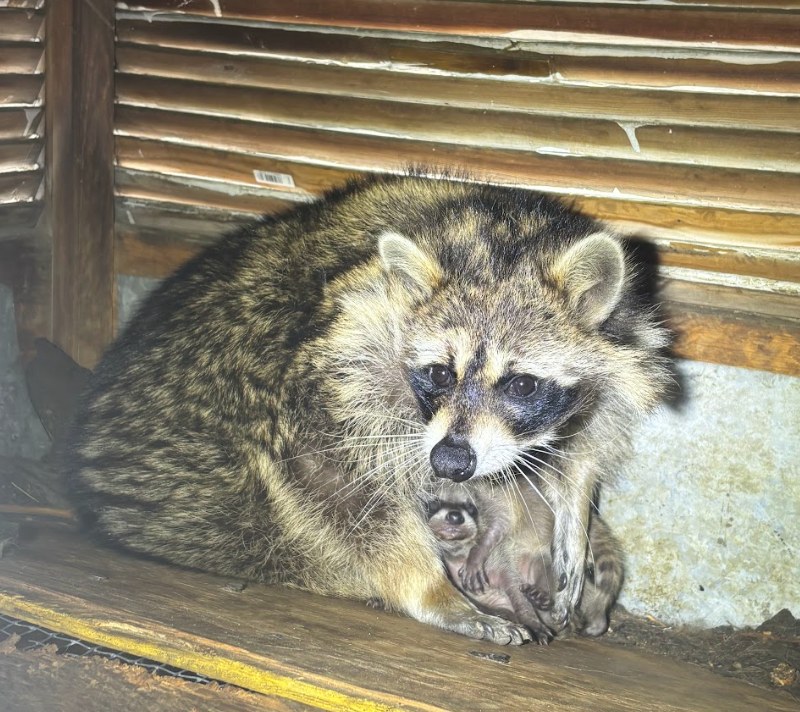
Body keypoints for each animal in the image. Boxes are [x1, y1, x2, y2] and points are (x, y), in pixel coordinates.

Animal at [427, 479, 623, 640]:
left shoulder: (499, 541)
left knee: (545, 566)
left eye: (470, 508)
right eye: (434, 503)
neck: (458, 551)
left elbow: (501, 528)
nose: (455, 516)